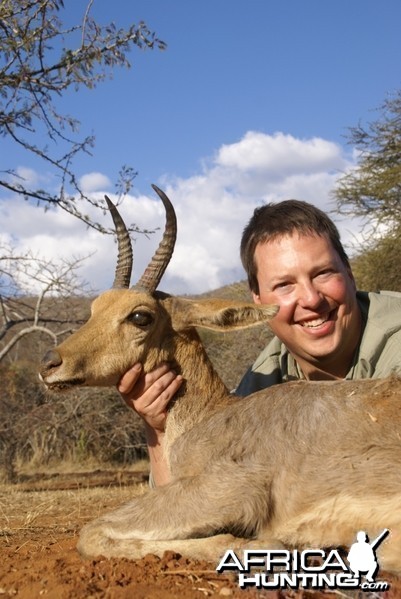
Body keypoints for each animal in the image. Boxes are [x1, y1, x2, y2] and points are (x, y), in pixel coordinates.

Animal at [39, 185, 400, 576]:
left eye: (139, 316)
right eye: (95, 308)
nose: (49, 363)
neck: (213, 415)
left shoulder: (235, 489)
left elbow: (91, 533)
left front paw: (267, 546)